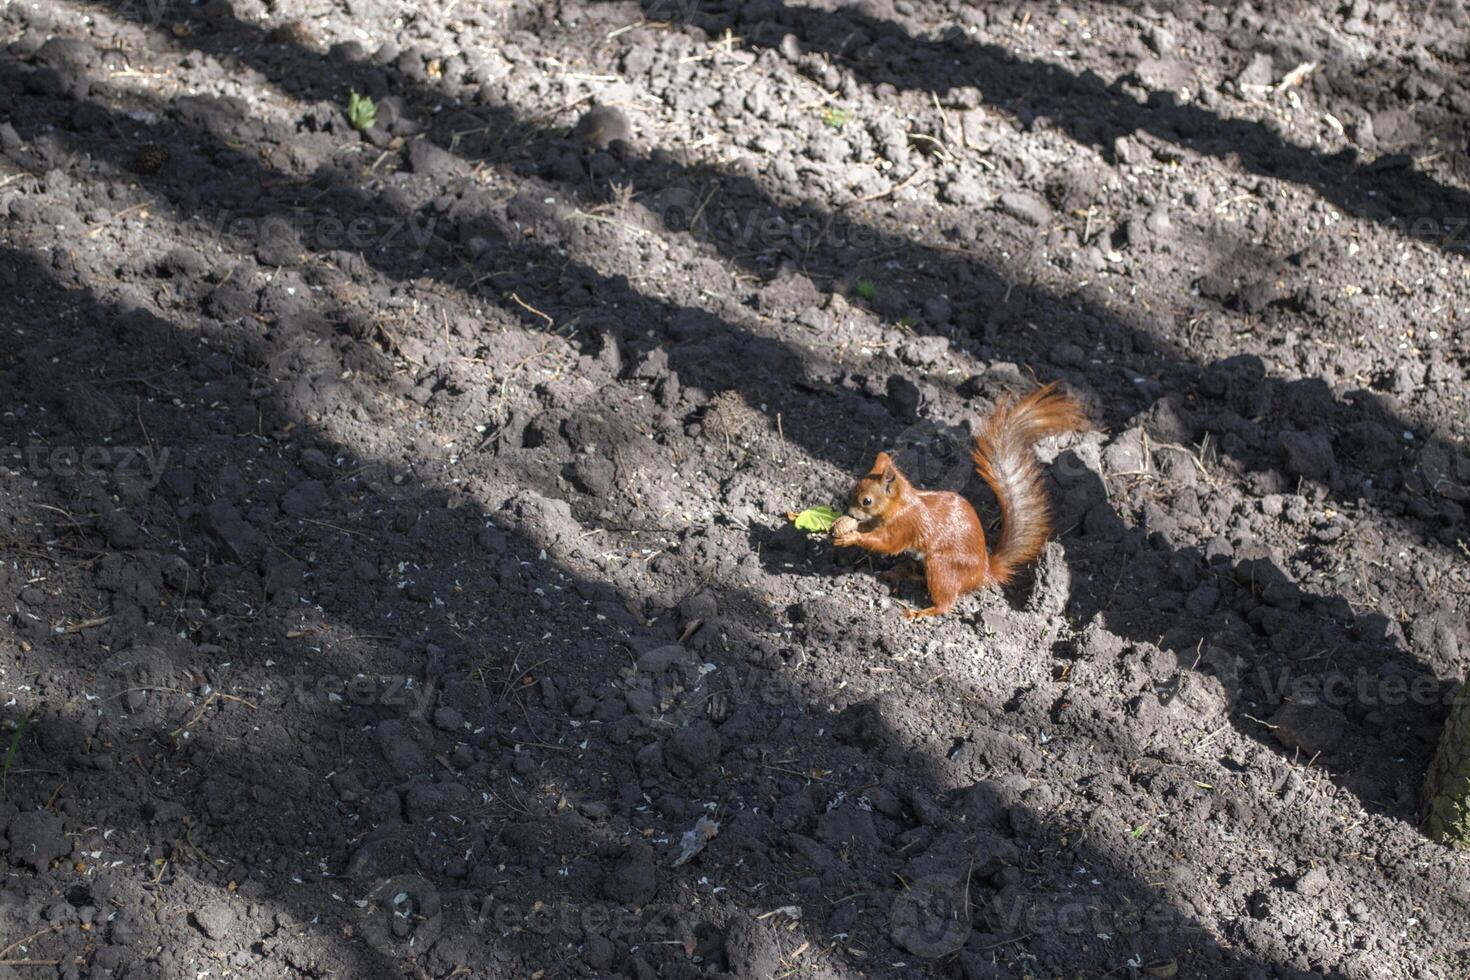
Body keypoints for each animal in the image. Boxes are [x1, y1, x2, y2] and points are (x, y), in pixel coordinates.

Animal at [834, 382, 1087, 617]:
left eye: (866, 501)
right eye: (854, 489)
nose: (849, 512)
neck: (899, 505)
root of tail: (983, 572)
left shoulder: (905, 524)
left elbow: (886, 543)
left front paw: (850, 537)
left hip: (941, 567)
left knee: (946, 602)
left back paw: (922, 611)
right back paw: (903, 573)